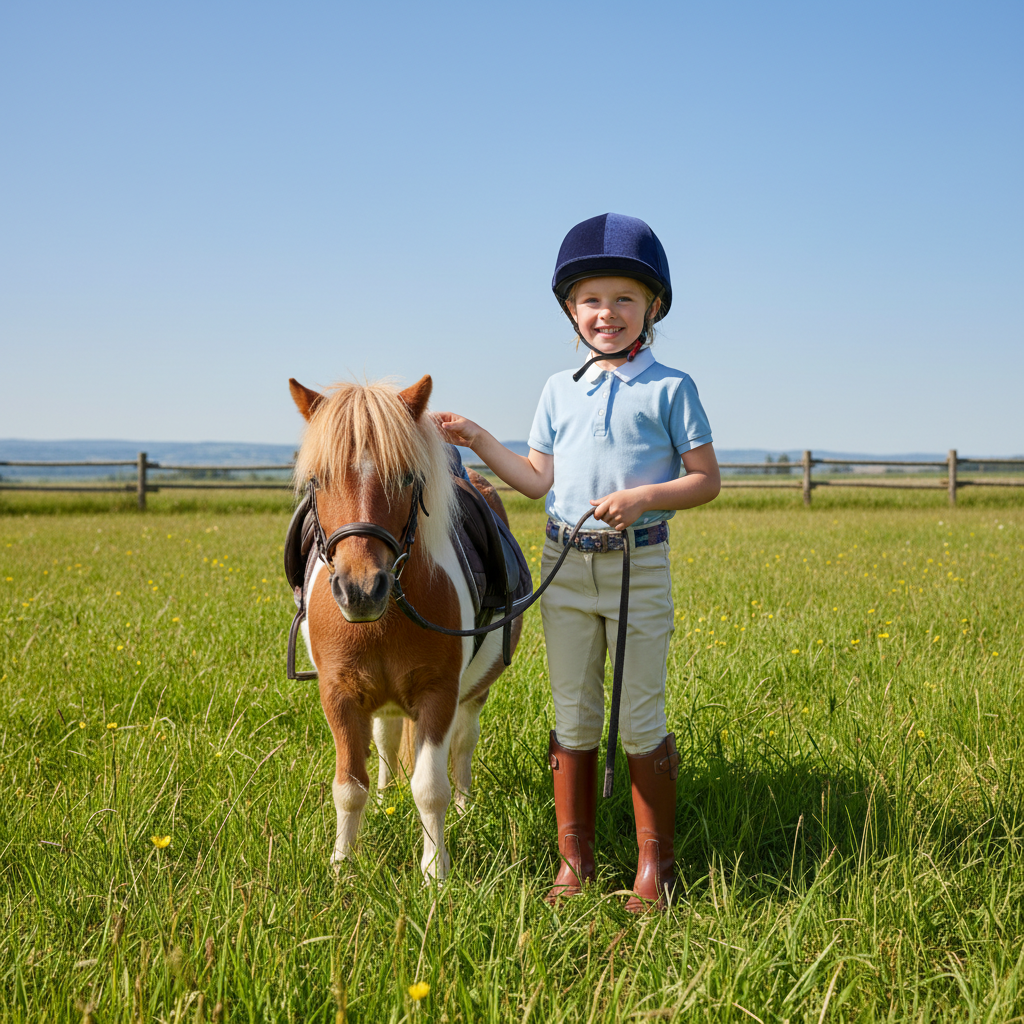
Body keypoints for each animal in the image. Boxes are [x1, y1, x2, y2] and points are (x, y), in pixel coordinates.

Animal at [289, 374, 521, 881]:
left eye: (406, 477)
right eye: (318, 479)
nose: (360, 589)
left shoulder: (439, 694)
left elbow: (430, 786)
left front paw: (435, 872)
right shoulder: (339, 696)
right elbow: (348, 786)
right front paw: (343, 864)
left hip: (472, 695)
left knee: (463, 745)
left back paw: (465, 808)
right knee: (386, 739)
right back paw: (384, 799)